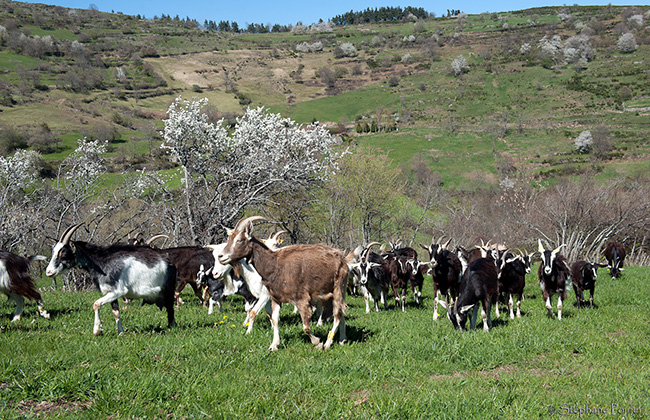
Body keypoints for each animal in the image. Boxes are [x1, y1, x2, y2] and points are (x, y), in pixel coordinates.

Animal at [44, 225, 177, 336]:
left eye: (64, 254)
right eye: (54, 252)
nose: (48, 272)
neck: (101, 262)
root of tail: (170, 263)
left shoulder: (118, 291)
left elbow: (96, 304)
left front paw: (97, 331)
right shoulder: (110, 293)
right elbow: (116, 313)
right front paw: (120, 333)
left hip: (168, 290)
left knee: (170, 309)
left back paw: (172, 328)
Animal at [216, 217, 350, 352]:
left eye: (239, 240)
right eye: (229, 239)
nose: (221, 256)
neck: (275, 266)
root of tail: (342, 258)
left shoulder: (301, 299)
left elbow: (306, 327)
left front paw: (318, 343)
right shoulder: (275, 298)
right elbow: (274, 319)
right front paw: (274, 345)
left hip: (339, 287)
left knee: (338, 314)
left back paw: (328, 343)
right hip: (332, 292)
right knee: (340, 313)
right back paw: (342, 340)